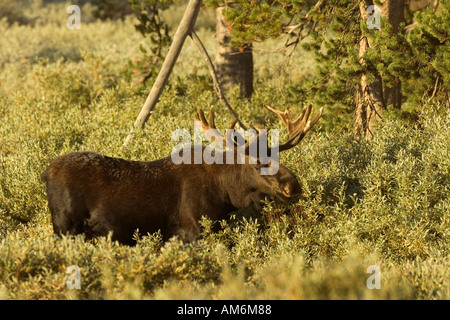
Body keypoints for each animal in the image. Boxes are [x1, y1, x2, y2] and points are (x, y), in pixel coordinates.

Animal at [40, 105, 322, 245]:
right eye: (256, 162)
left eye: (278, 158)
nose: (293, 186)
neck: (227, 196)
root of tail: (45, 172)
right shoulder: (193, 230)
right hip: (65, 227)